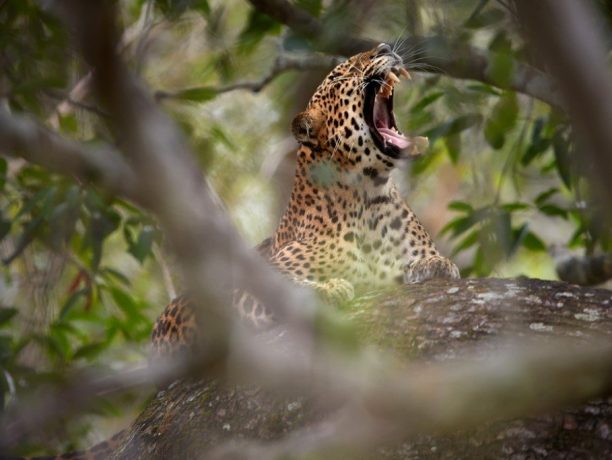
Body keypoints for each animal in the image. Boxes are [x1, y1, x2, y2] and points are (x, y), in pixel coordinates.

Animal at [7, 44, 456, 460]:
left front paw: (436, 264)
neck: (369, 198)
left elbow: (422, 262)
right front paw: (329, 289)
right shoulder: (246, 293)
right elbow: (293, 289)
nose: (384, 47)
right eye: (342, 73)